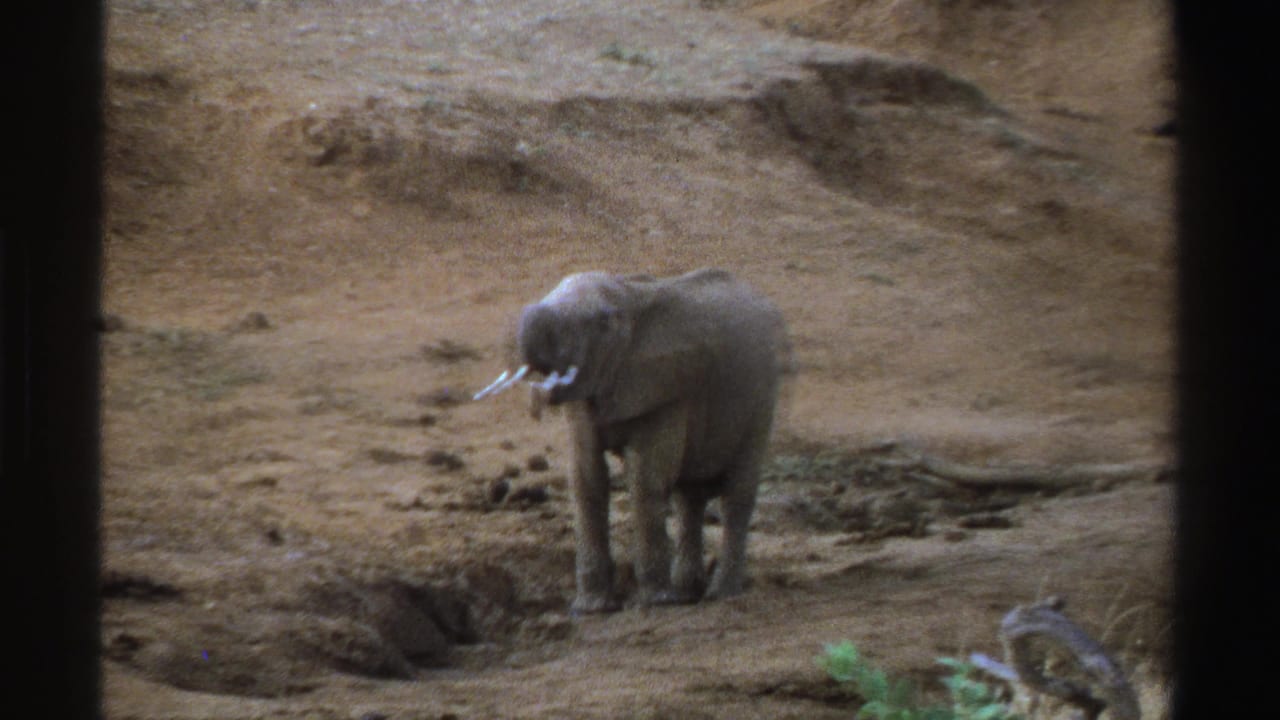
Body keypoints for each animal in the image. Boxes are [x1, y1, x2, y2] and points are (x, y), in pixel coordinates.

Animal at [475, 268, 787, 613]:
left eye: (601, 322)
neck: (629, 296)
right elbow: (587, 479)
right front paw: (592, 609)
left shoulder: (668, 384)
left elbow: (644, 479)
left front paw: (656, 602)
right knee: (689, 499)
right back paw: (688, 593)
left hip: (763, 399)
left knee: (736, 495)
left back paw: (720, 594)